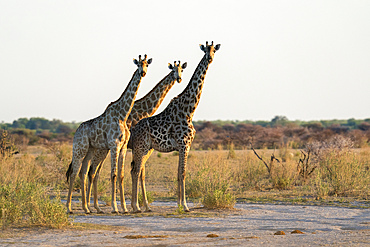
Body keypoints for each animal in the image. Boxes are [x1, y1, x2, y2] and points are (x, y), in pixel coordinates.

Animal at [66, 54, 152, 214]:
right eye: (138, 64)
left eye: (147, 64)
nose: (143, 72)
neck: (123, 115)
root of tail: (77, 131)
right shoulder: (114, 145)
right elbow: (113, 175)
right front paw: (115, 207)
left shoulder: (123, 147)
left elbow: (121, 175)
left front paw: (124, 207)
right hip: (79, 149)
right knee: (74, 172)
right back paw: (68, 208)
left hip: (90, 150)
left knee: (83, 172)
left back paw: (86, 208)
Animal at [84, 60, 188, 213]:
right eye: (174, 70)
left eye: (181, 70)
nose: (179, 78)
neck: (143, 110)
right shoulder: (136, 147)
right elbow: (135, 172)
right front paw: (134, 205)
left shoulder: (140, 147)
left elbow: (140, 173)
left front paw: (144, 206)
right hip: (102, 149)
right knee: (92, 171)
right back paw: (91, 206)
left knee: (94, 172)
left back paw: (94, 206)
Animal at [131, 42, 220, 212]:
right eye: (205, 50)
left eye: (214, 50)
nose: (210, 58)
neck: (189, 110)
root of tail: (133, 130)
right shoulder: (184, 144)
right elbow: (183, 173)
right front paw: (185, 205)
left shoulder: (183, 147)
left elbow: (179, 174)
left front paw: (179, 204)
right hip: (140, 148)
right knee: (135, 171)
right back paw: (136, 207)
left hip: (145, 149)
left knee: (136, 171)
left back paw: (139, 206)